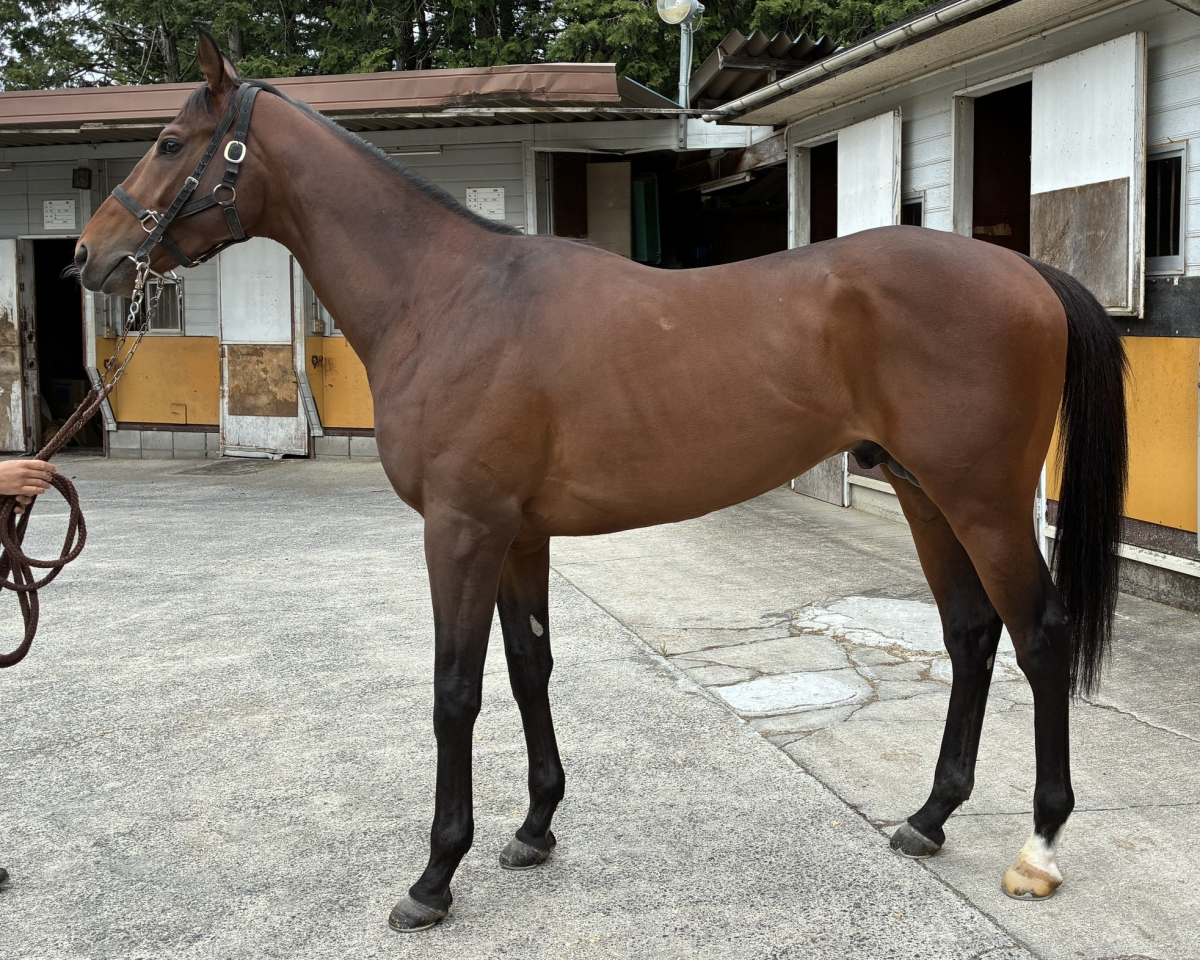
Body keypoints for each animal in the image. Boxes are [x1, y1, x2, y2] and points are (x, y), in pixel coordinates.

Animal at [76, 31, 1127, 931]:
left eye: (170, 142)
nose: (91, 255)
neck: (448, 298)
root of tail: (1026, 274)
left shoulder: (460, 529)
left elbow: (454, 690)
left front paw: (434, 877)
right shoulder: (516, 533)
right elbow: (529, 667)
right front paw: (534, 829)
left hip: (984, 503)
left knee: (1039, 639)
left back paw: (1038, 850)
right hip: (923, 495)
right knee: (971, 636)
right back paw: (929, 817)